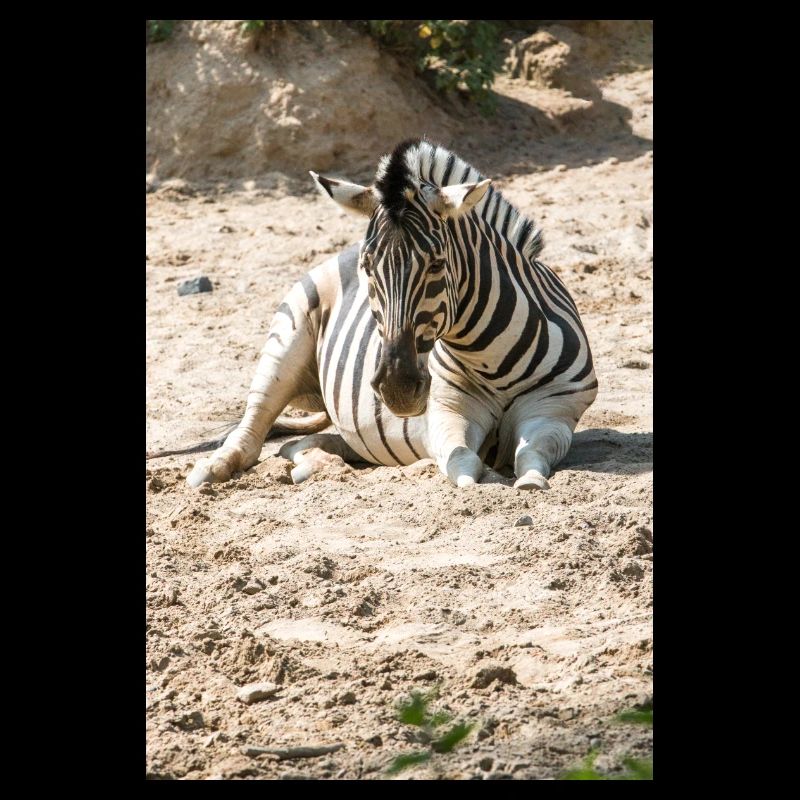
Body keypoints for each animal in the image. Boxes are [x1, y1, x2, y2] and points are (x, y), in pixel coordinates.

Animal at [184, 138, 598, 491]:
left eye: (437, 264)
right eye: (368, 267)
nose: (396, 388)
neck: (489, 357)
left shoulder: (555, 410)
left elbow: (531, 453)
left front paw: (530, 481)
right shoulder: (447, 411)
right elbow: (463, 463)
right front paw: (482, 480)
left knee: (306, 443)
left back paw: (314, 465)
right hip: (286, 339)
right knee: (254, 422)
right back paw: (212, 469)